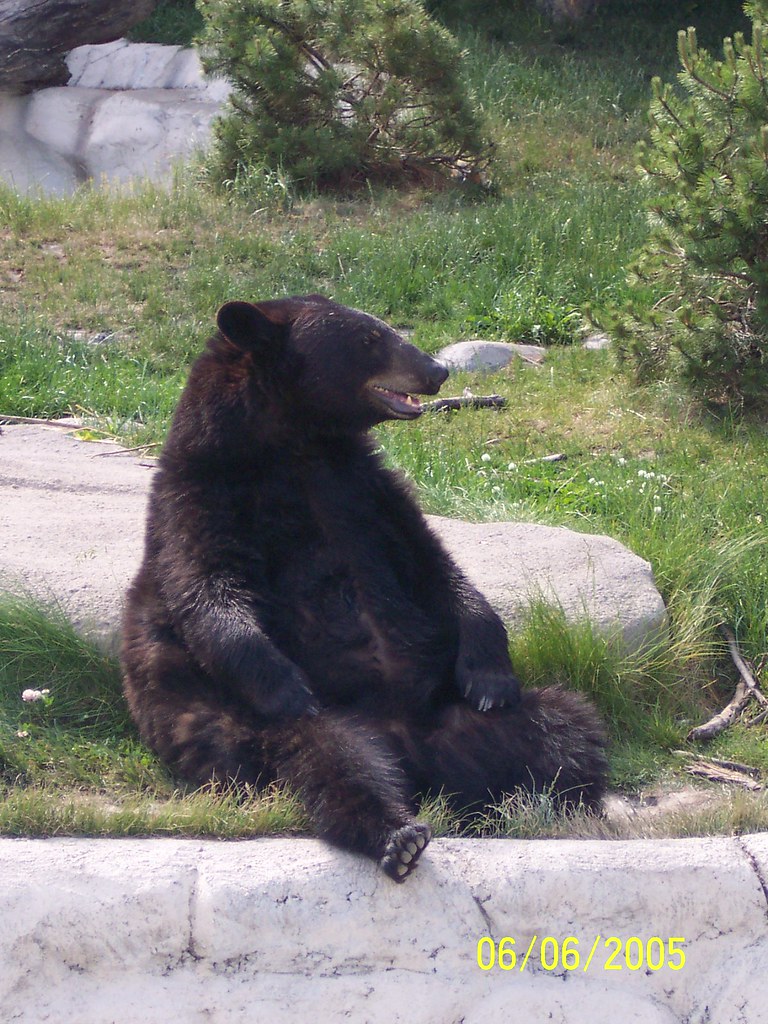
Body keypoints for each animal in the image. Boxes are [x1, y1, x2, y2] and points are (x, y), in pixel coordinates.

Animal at [121, 294, 607, 881]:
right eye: (370, 339)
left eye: (382, 328)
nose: (437, 371)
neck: (297, 445)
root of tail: (413, 752)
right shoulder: (201, 496)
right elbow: (207, 590)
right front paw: (288, 685)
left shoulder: (367, 492)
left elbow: (437, 567)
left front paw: (489, 674)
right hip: (264, 730)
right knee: (336, 762)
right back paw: (398, 834)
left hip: (465, 715)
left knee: (565, 728)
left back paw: (541, 798)